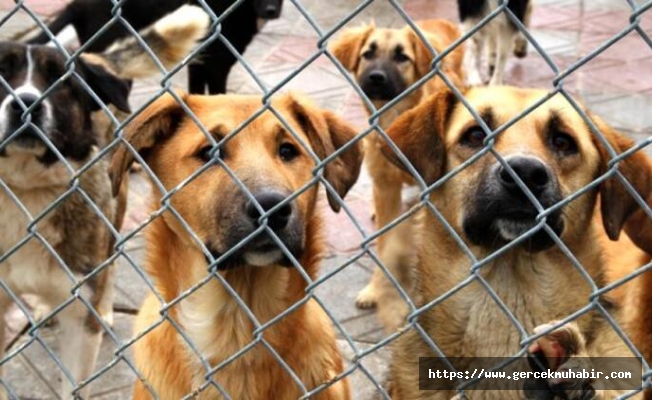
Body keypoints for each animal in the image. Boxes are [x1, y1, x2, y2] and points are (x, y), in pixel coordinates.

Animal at [0, 6, 206, 396]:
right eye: (2, 73)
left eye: (62, 82)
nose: (24, 104)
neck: (26, 190)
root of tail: (93, 57)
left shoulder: (81, 321)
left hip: (115, 208)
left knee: (110, 262)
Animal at [332, 19, 464, 312]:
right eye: (368, 54)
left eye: (402, 57)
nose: (376, 77)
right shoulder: (384, 185)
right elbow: (385, 243)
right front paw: (376, 289)